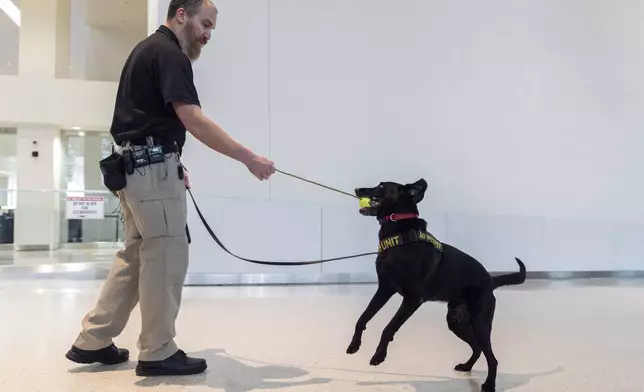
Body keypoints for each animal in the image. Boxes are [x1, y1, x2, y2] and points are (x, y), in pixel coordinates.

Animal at [348, 178, 524, 392]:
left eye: (381, 186)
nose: (357, 189)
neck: (401, 234)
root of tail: (491, 280)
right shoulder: (384, 289)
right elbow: (363, 318)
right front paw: (354, 345)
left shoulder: (412, 299)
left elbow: (388, 328)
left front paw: (379, 355)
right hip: (456, 321)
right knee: (477, 347)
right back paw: (466, 366)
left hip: (480, 323)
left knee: (492, 357)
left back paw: (489, 384)